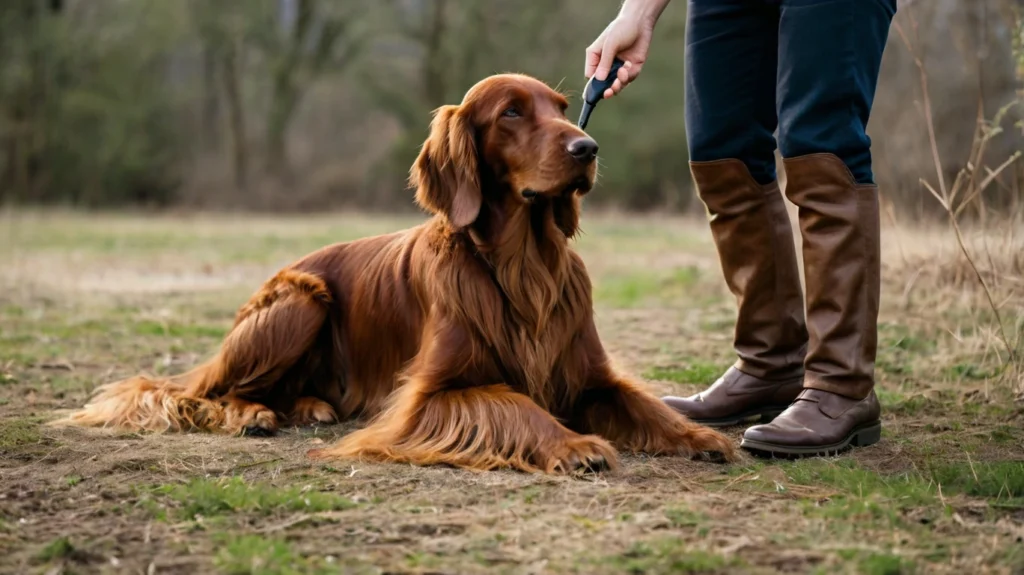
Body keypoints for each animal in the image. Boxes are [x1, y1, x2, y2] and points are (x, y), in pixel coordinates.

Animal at [58, 73, 737, 472]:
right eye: (512, 113)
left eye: (565, 108)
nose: (587, 148)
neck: (524, 263)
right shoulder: (431, 395)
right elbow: (515, 402)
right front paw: (573, 444)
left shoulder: (591, 374)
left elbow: (641, 402)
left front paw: (697, 435)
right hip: (301, 299)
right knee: (216, 393)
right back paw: (254, 415)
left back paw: (311, 405)